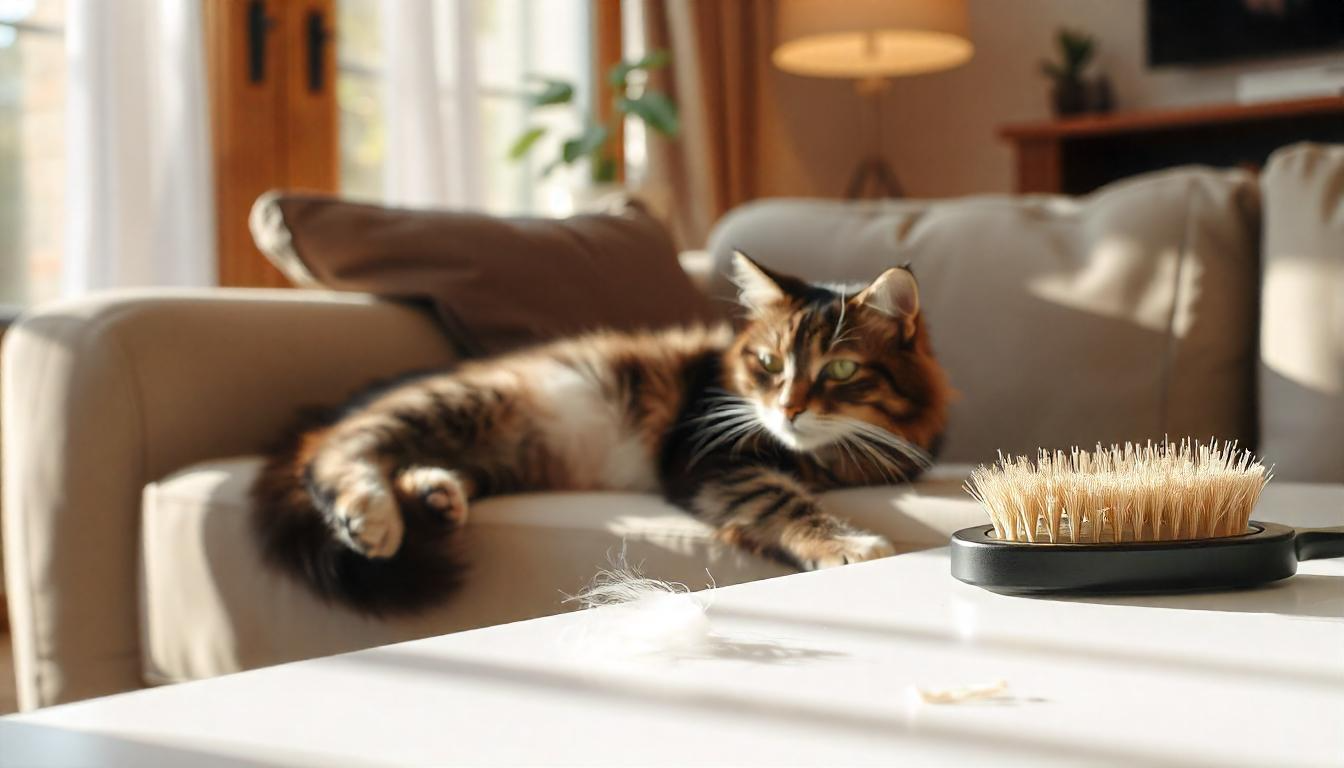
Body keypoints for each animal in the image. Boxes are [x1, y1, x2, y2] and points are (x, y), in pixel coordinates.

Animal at [249, 252, 946, 613]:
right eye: (768, 363)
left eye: (841, 370)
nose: (788, 409)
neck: (829, 456)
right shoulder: (707, 455)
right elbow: (780, 499)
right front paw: (847, 543)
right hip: (461, 402)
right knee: (341, 453)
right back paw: (372, 514)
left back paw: (434, 496)